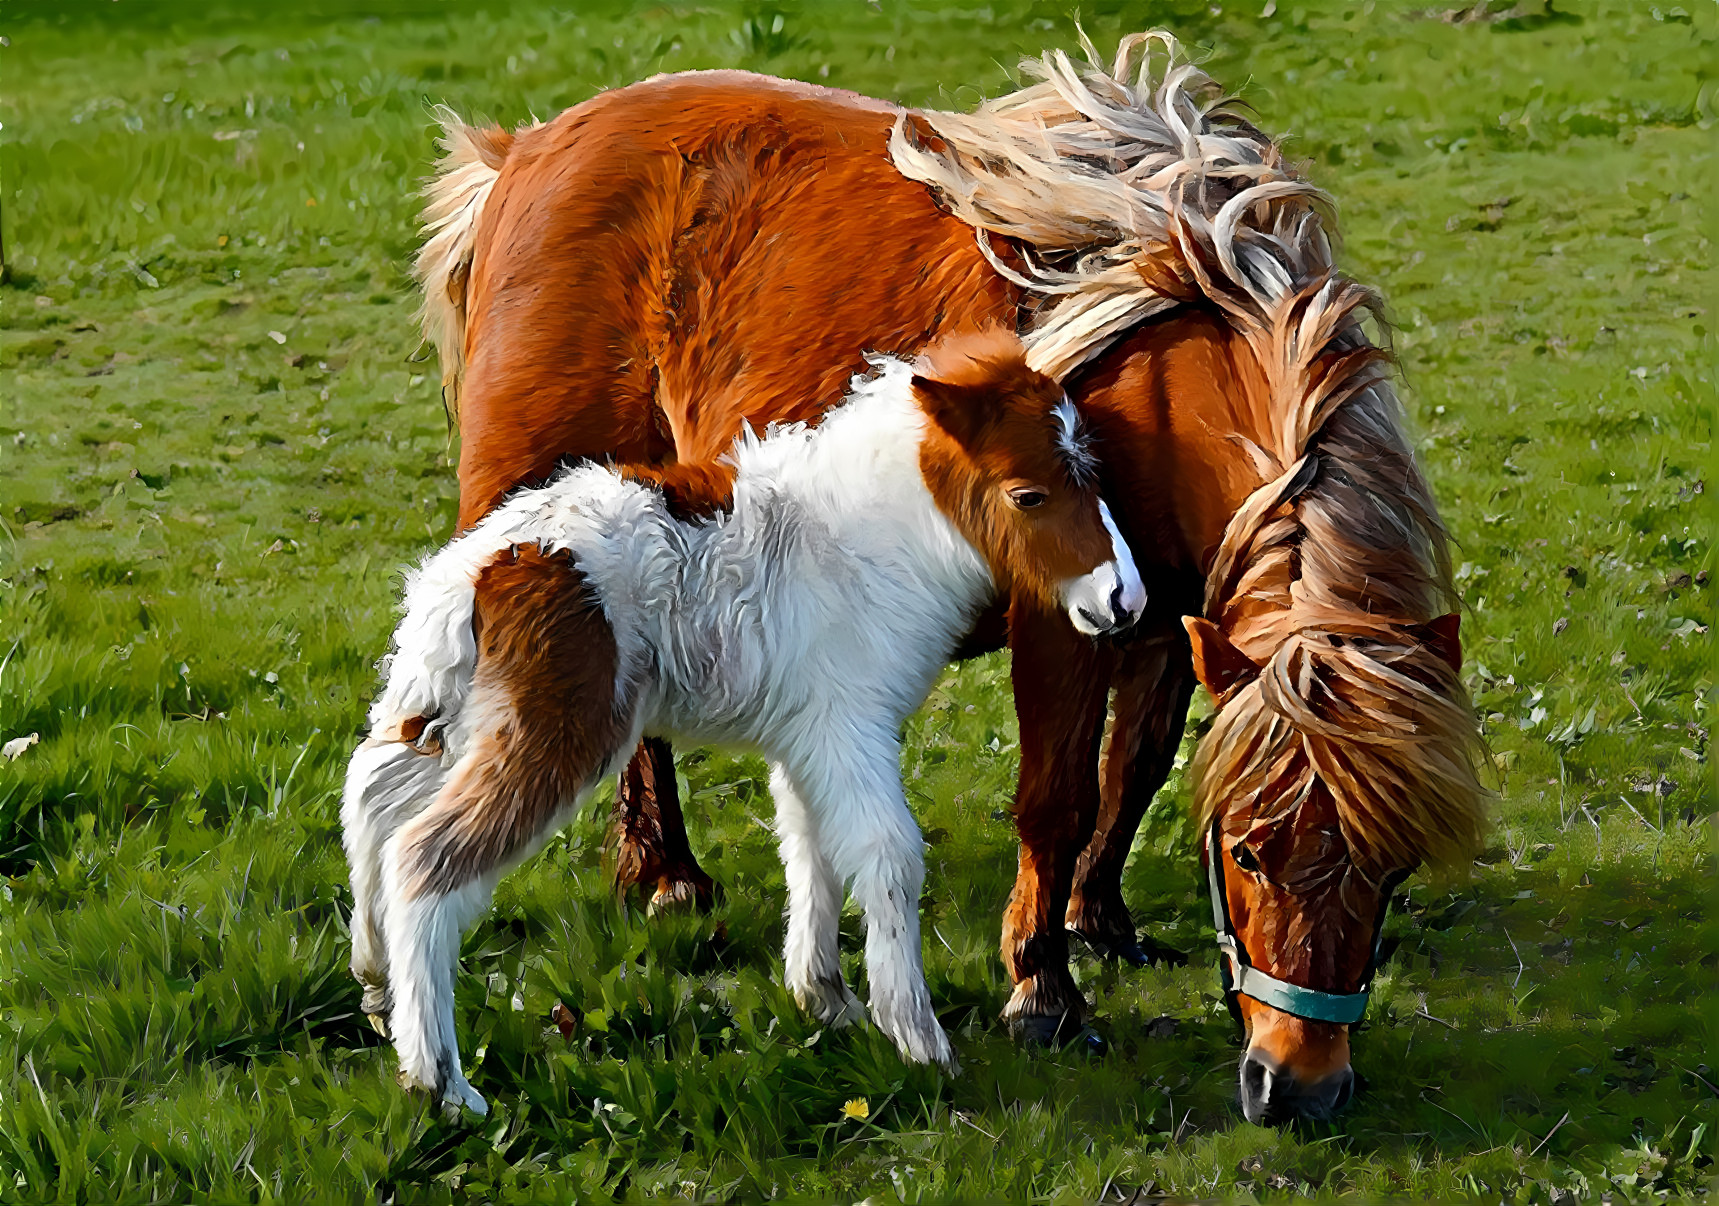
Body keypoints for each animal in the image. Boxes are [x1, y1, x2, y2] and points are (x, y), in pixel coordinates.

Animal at [338, 329, 1141, 1113]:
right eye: (1028, 493)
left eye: (1097, 475)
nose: (1124, 599)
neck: (862, 542)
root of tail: (477, 571)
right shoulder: (851, 725)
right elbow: (888, 855)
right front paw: (917, 1038)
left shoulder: (807, 739)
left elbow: (811, 849)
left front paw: (826, 1002)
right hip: (561, 729)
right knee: (423, 858)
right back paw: (441, 1081)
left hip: (444, 711)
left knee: (371, 796)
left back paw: (376, 988)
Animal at [419, 37, 1492, 1133]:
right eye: (1243, 853)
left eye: (1391, 866)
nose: (1300, 1088)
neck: (1159, 369)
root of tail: (522, 155)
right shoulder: (1065, 621)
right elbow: (1057, 797)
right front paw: (1042, 989)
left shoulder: (1170, 619)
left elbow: (1134, 769)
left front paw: (1098, 918)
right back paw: (666, 878)